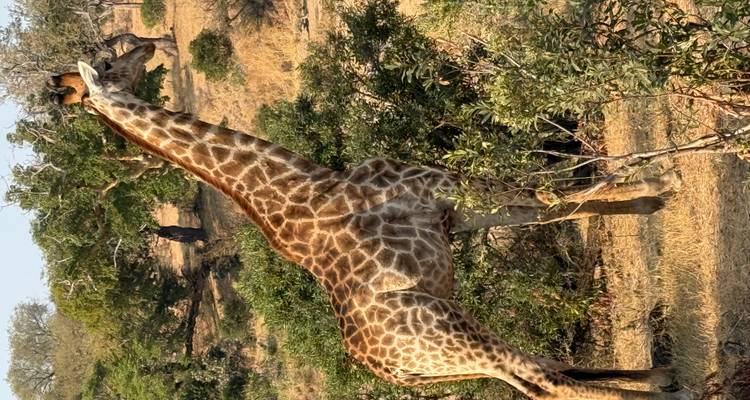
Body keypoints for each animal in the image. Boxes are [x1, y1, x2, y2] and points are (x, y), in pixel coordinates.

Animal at [51, 43, 689, 400]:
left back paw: (661, 379)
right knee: (545, 380)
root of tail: (392, 372)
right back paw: (665, 387)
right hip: (449, 330)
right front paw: (663, 185)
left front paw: (649, 198)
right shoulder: (439, 189)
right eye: (108, 61)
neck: (307, 185)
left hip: (450, 350)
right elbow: (549, 194)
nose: (145, 50)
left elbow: (552, 202)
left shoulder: (450, 213)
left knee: (537, 376)